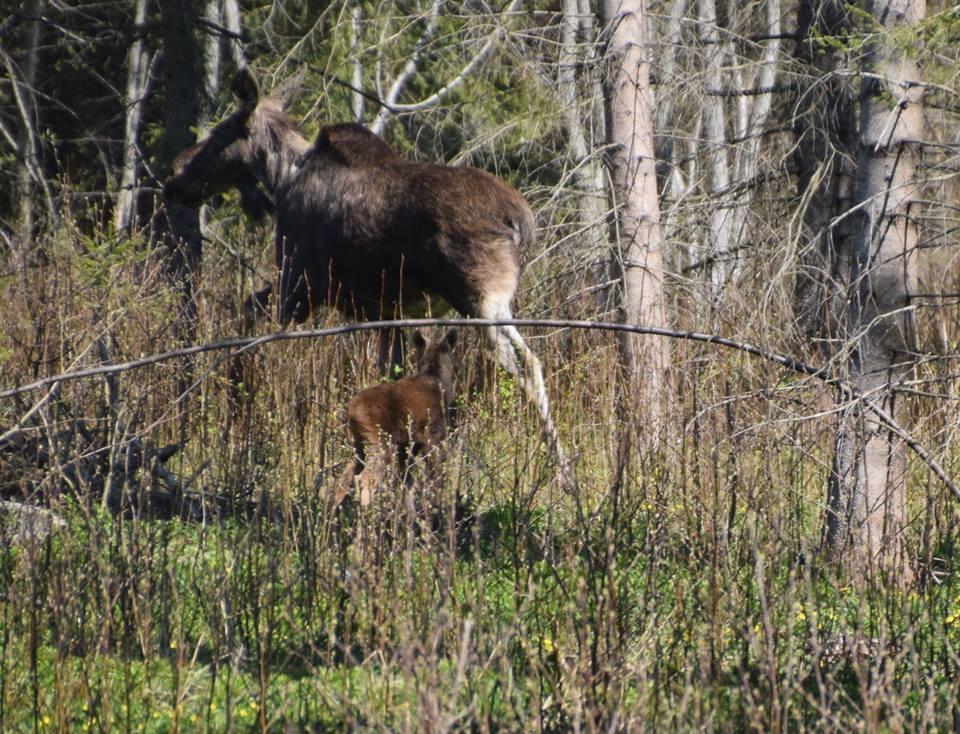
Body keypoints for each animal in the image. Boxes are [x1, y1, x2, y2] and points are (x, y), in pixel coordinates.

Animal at [163, 69, 568, 484]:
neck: (281, 179)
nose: (173, 175)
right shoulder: (388, 310)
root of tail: (523, 222)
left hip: (481, 298)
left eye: (220, 131)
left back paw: (562, 473)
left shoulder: (297, 288)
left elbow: (246, 322)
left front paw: (236, 420)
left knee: (526, 364)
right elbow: (392, 371)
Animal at [344, 332, 458, 508]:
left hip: (360, 443)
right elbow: (435, 476)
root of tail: (351, 410)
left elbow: (406, 479)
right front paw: (440, 503)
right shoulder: (431, 436)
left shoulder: (408, 443)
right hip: (379, 440)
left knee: (347, 476)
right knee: (364, 477)